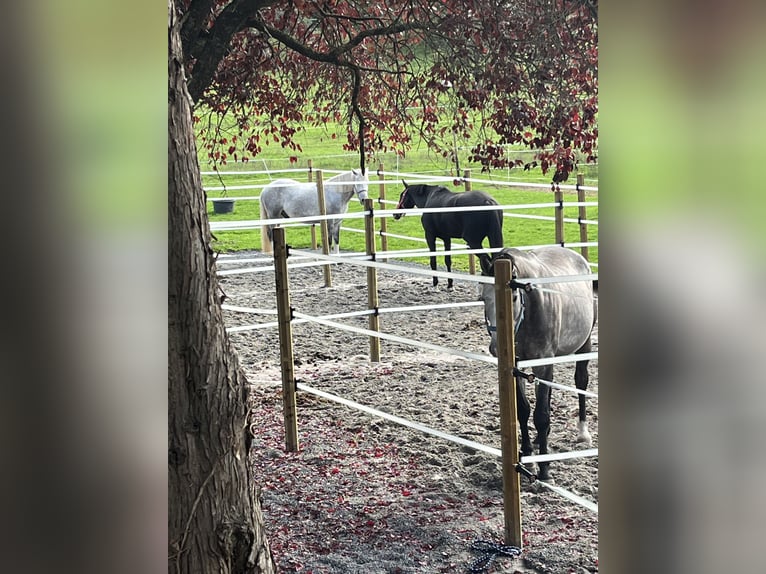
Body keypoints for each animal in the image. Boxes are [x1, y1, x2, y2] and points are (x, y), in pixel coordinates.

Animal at [480, 246, 600, 482]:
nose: (495, 347)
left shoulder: (542, 364)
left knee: (581, 383)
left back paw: (583, 433)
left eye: (513, 296)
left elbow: (541, 416)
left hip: (585, 345)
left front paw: (544, 470)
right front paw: (527, 455)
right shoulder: (518, 366)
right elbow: (523, 410)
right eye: (482, 299)